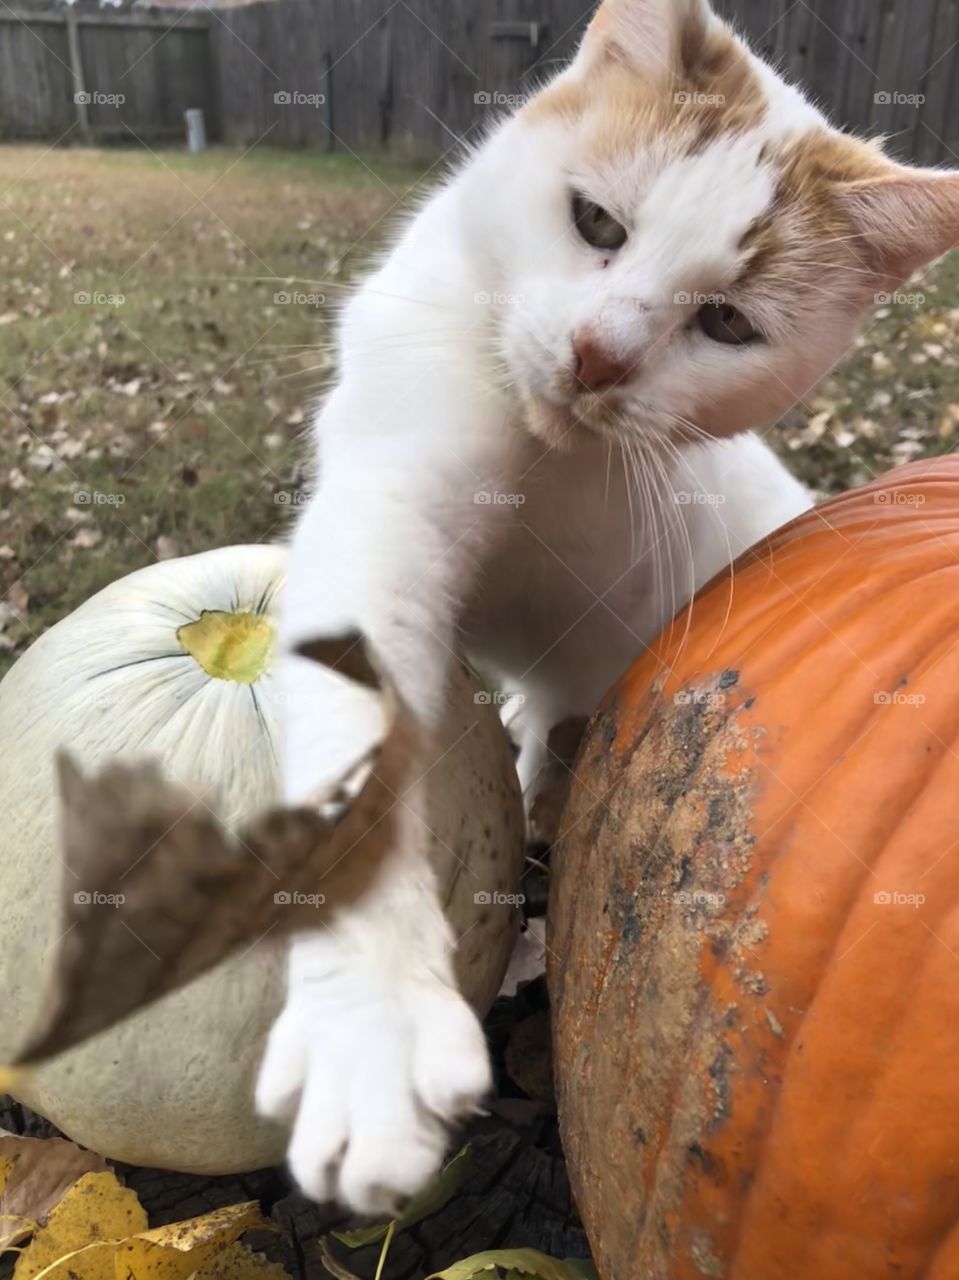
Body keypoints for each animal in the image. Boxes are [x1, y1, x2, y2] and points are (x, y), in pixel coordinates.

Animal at [252, 0, 957, 1213]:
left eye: (726, 323)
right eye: (594, 221)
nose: (595, 359)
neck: (545, 464)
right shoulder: (388, 510)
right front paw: (370, 1022)